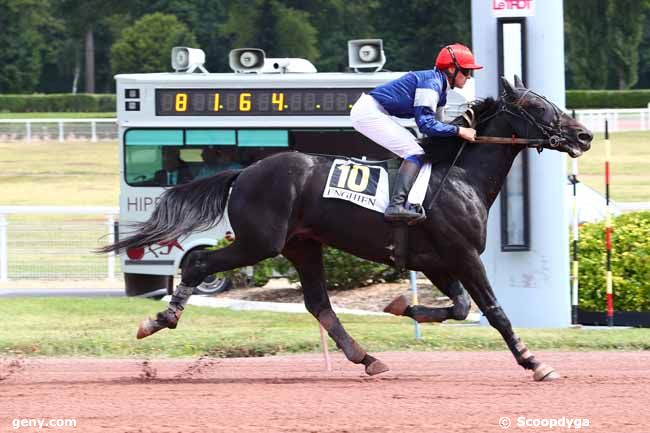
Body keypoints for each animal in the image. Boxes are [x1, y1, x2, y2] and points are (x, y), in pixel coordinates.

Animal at [100, 77, 588, 382]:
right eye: (536, 106)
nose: (583, 135)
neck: (461, 175)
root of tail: (245, 172)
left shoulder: (435, 261)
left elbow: (460, 308)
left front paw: (401, 306)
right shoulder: (464, 256)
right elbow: (494, 311)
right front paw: (534, 361)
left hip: (302, 246)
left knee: (319, 303)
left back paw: (366, 357)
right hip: (261, 242)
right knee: (199, 261)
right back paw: (160, 319)